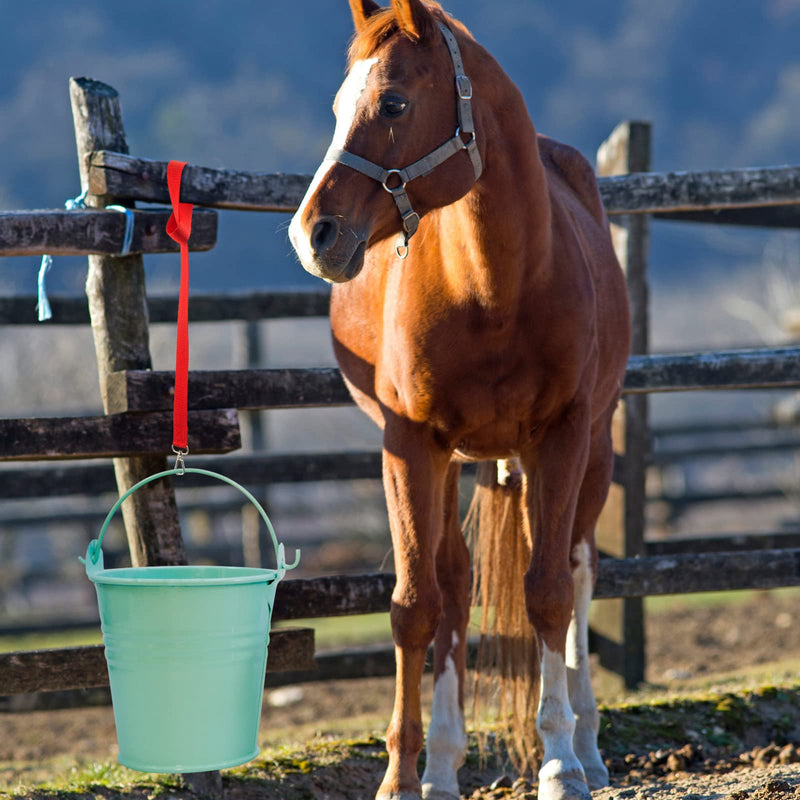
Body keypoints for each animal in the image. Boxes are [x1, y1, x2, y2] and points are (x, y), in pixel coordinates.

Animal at [288, 3, 632, 796]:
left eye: (392, 104)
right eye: (337, 108)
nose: (312, 233)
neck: (492, 287)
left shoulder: (562, 437)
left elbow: (548, 592)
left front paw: (558, 761)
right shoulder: (410, 443)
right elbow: (416, 605)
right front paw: (400, 774)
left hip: (592, 448)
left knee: (577, 568)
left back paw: (587, 743)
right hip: (452, 460)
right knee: (452, 580)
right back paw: (443, 764)